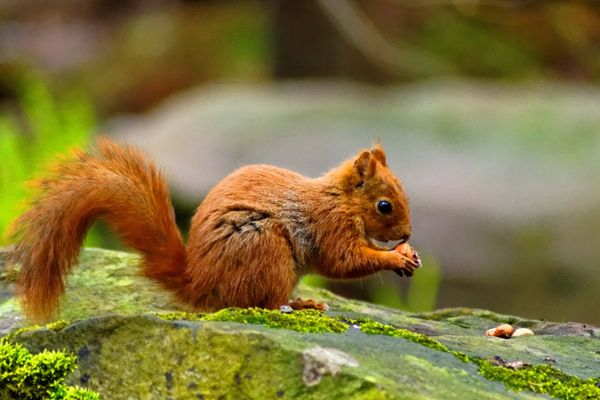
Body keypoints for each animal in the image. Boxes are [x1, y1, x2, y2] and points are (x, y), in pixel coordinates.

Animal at [10, 139, 422, 320]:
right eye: (384, 205)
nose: (405, 235)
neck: (341, 199)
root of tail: (200, 282)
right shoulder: (330, 225)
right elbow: (343, 261)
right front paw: (396, 257)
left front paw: (406, 254)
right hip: (265, 249)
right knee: (257, 302)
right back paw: (294, 305)